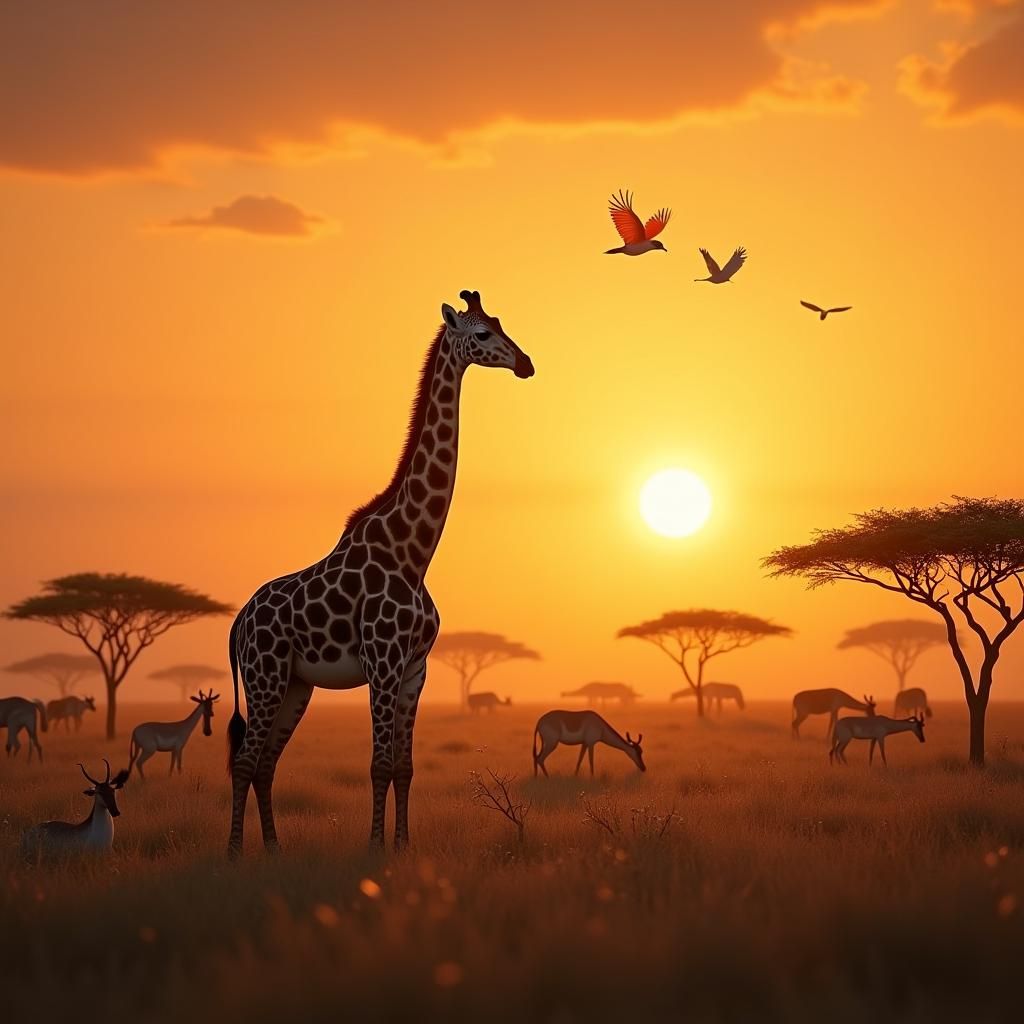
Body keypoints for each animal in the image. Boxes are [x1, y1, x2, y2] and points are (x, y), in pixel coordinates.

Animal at [226, 289, 534, 858]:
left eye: (502, 323)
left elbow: (404, 767)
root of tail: (238, 621)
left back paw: (275, 850)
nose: (526, 363)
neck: (413, 554)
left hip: (295, 685)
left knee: (264, 764)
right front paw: (373, 849)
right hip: (264, 676)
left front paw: (404, 847)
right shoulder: (383, 664)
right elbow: (378, 765)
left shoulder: (415, 669)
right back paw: (235, 855)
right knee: (244, 760)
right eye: (482, 334)